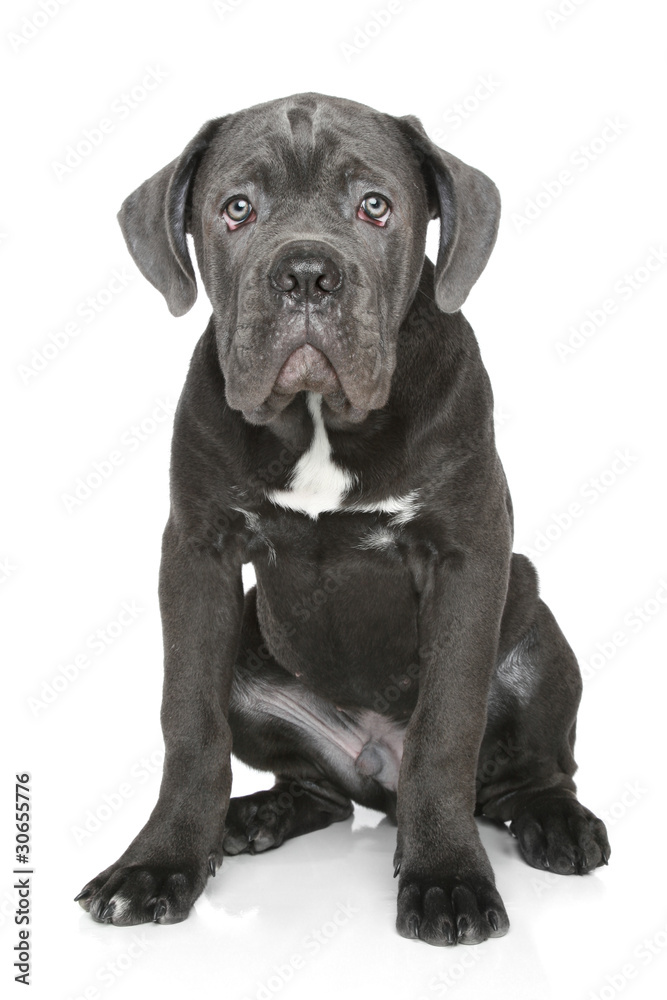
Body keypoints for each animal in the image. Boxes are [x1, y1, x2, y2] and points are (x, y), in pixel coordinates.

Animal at [74, 90, 612, 940]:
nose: (305, 273)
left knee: (533, 771)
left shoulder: (467, 555)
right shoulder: (197, 553)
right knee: (315, 789)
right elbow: (188, 722)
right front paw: (159, 863)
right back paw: (254, 816)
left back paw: (555, 823)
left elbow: (445, 729)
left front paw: (446, 877)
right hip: (250, 648)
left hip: (535, 633)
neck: (319, 415)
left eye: (375, 206)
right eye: (236, 208)